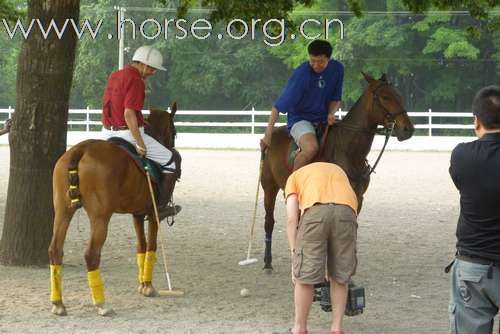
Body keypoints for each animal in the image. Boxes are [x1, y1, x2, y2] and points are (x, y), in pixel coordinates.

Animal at [47, 105, 180, 316]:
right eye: (174, 132)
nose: (172, 145)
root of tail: (80, 150)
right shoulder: (153, 213)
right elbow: (151, 246)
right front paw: (149, 287)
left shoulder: (137, 213)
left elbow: (141, 246)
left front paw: (142, 285)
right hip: (100, 216)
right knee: (91, 254)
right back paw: (101, 304)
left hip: (62, 210)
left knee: (55, 250)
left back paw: (58, 304)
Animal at [262, 73, 414, 272]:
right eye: (385, 97)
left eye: (399, 95)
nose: (408, 129)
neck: (348, 150)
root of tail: (271, 135)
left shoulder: (358, 198)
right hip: (268, 187)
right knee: (269, 222)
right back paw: (267, 262)